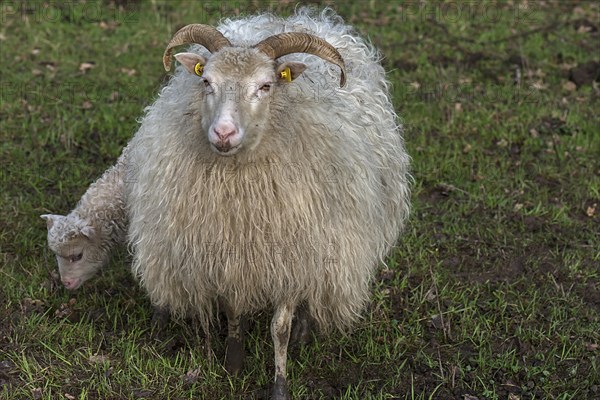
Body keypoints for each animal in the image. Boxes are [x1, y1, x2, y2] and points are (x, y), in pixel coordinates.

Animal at [124, 7, 410, 398]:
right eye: (207, 82)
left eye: (265, 85)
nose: (223, 133)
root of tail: (311, 17)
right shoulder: (231, 255)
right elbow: (233, 309)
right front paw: (233, 362)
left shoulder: (292, 256)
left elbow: (279, 328)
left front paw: (279, 384)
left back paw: (305, 330)